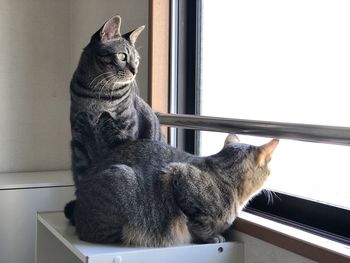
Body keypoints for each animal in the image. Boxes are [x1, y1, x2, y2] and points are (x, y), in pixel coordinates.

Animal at [69, 14, 163, 186]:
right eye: (122, 56)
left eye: (137, 60)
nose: (134, 70)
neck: (96, 95)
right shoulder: (79, 139)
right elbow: (81, 176)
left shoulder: (123, 133)